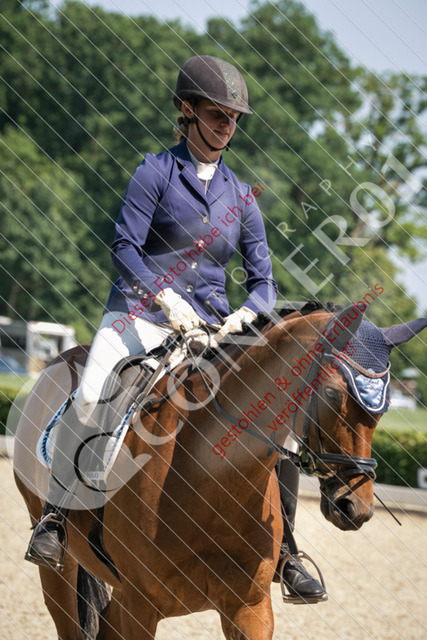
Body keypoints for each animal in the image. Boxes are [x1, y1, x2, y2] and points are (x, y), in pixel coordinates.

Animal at [13, 302, 426, 639]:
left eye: (386, 406)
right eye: (331, 393)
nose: (355, 507)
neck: (211, 479)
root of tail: (58, 362)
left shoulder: (249, 608)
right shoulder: (139, 606)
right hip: (58, 566)